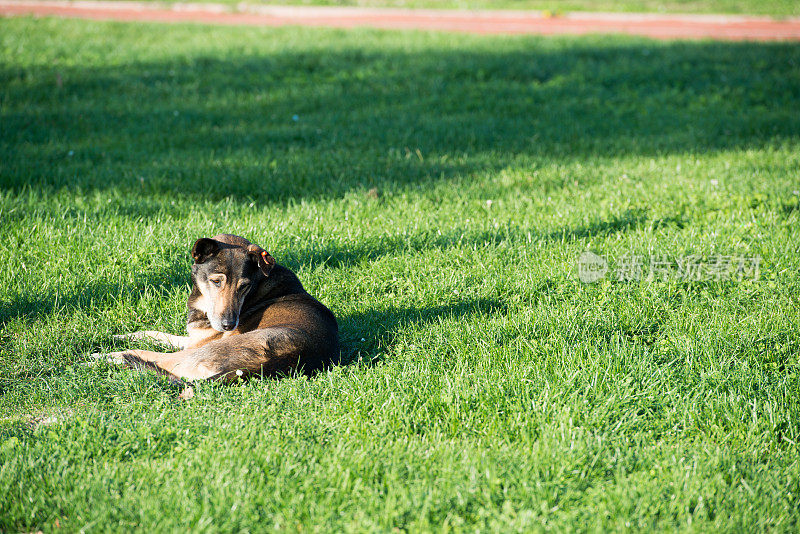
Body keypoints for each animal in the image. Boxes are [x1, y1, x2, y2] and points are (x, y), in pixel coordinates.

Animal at [92, 234, 340, 390]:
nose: (229, 325)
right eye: (216, 281)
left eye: (244, 286)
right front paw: (121, 335)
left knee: (146, 357)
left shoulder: (197, 345)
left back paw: (99, 359)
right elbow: (155, 333)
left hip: (202, 353)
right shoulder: (194, 339)